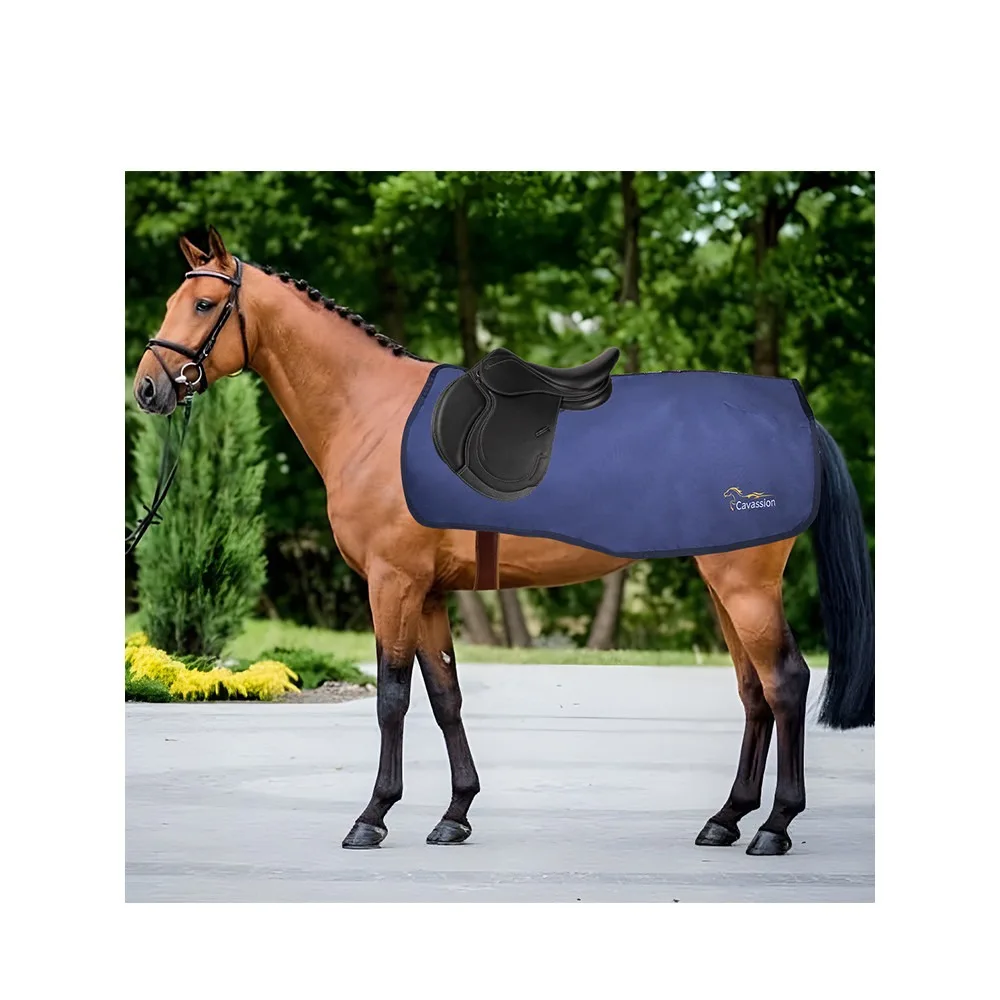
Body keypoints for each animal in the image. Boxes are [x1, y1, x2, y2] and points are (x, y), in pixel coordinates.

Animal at [132, 228, 874, 856]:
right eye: (173, 300)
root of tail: (797, 415)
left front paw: (372, 817)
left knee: (785, 682)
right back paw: (726, 819)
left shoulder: (393, 583)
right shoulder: (429, 593)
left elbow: (392, 699)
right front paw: (455, 813)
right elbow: (445, 698)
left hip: (744, 584)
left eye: (204, 303)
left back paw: (775, 827)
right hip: (724, 584)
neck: (369, 413)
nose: (148, 387)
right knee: (754, 693)